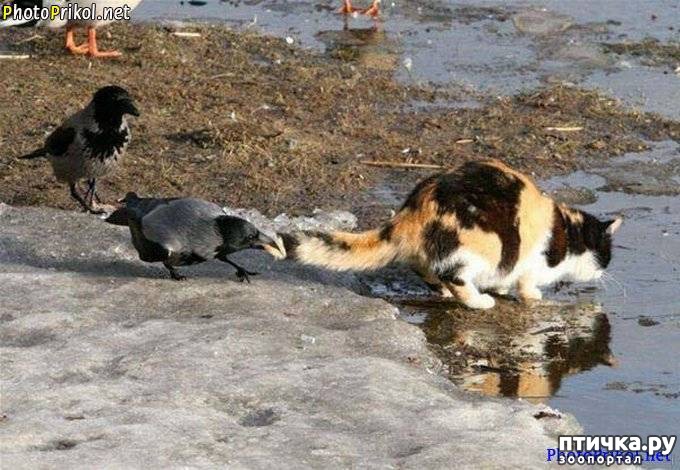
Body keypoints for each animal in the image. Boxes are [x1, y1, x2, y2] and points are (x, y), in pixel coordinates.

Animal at [280, 159, 622, 309]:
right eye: (606, 255)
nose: (604, 272)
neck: (565, 232)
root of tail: (414, 212)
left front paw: (502, 288)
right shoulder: (530, 263)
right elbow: (526, 284)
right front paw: (531, 295)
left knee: (426, 269)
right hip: (481, 246)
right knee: (453, 276)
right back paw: (480, 301)